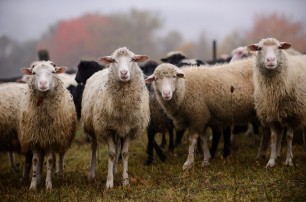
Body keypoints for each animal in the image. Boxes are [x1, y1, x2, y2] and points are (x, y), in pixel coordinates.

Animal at [18, 60, 76, 190]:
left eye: (53, 72)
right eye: (33, 73)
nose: (43, 83)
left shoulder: (52, 139)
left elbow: (49, 160)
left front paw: (48, 185)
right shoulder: (35, 138)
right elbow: (35, 161)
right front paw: (33, 185)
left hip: (62, 137)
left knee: (60, 156)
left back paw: (60, 174)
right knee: (41, 159)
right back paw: (40, 177)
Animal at [80, 47, 149, 188]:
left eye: (133, 59)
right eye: (113, 60)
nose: (123, 73)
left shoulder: (129, 128)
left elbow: (124, 153)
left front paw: (125, 181)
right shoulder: (107, 128)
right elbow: (111, 154)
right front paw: (109, 182)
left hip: (119, 128)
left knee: (118, 146)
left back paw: (116, 169)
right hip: (91, 125)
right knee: (94, 146)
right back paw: (92, 174)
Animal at [247, 38, 306, 167]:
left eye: (279, 47)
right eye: (259, 48)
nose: (270, 60)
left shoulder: (293, 115)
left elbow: (289, 137)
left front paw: (289, 161)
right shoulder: (272, 114)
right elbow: (274, 137)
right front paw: (271, 161)